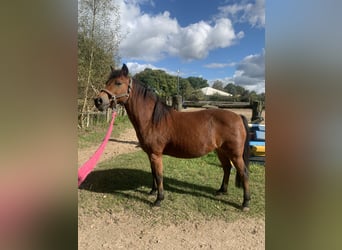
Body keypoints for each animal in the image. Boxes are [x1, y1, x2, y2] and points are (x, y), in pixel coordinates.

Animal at [95, 63, 250, 210]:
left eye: (118, 83)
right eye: (107, 81)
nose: (98, 101)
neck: (152, 120)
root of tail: (238, 116)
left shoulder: (156, 154)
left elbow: (159, 175)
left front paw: (158, 200)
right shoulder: (150, 154)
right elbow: (153, 173)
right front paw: (152, 192)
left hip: (235, 154)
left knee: (243, 173)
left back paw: (245, 203)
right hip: (221, 151)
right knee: (227, 168)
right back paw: (221, 191)